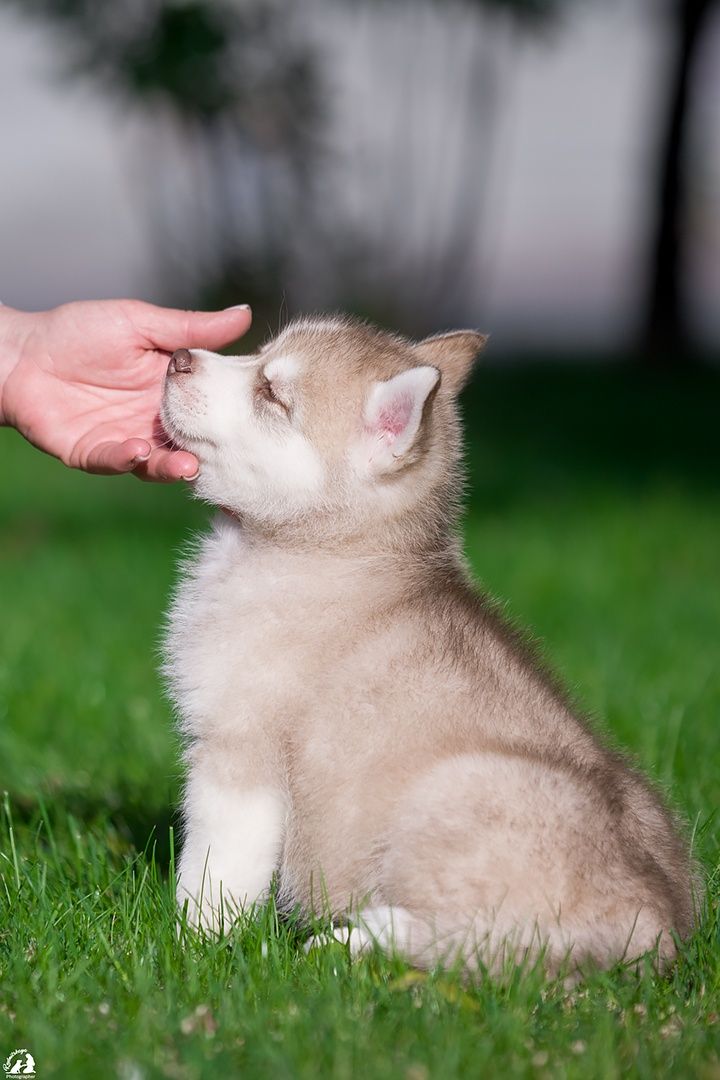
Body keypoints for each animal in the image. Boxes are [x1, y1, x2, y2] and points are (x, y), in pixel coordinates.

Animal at [161, 315, 690, 976]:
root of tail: (660, 929)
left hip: (455, 794)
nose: (176, 357)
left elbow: (215, 870)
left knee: (471, 943)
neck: (323, 546)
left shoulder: (241, 749)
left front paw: (193, 947)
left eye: (273, 396)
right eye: (258, 352)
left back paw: (351, 940)